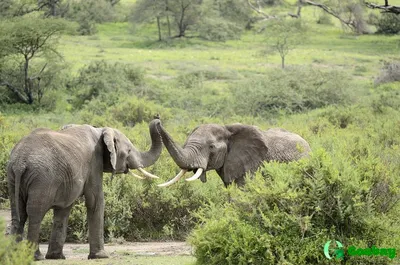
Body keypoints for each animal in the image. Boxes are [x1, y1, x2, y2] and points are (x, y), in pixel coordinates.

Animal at [7, 119, 162, 260]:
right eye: (129, 150)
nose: (158, 120)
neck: (101, 130)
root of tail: (20, 162)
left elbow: (64, 210)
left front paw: (56, 257)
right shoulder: (94, 162)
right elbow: (95, 200)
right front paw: (100, 256)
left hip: (13, 178)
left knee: (19, 214)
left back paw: (15, 256)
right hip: (42, 179)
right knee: (35, 214)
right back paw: (36, 257)